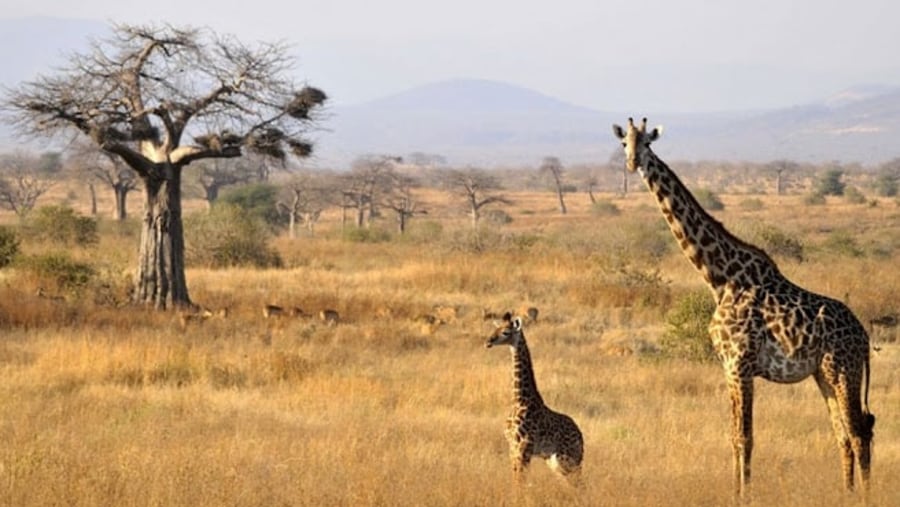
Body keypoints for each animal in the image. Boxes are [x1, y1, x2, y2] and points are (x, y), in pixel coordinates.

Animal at [486, 312, 584, 486]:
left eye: (506, 332)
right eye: (495, 329)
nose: (488, 341)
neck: (520, 400)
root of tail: (581, 436)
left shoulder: (525, 447)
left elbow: (520, 483)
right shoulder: (513, 448)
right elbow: (516, 481)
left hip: (568, 458)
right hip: (554, 461)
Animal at [612, 117, 872, 498]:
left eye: (647, 142)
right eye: (624, 143)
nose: (632, 163)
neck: (720, 279)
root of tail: (864, 337)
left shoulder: (741, 364)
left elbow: (746, 437)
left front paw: (744, 495)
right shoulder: (727, 367)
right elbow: (734, 436)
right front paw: (736, 491)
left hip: (844, 371)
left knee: (858, 432)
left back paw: (865, 495)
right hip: (823, 374)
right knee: (843, 434)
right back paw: (846, 493)